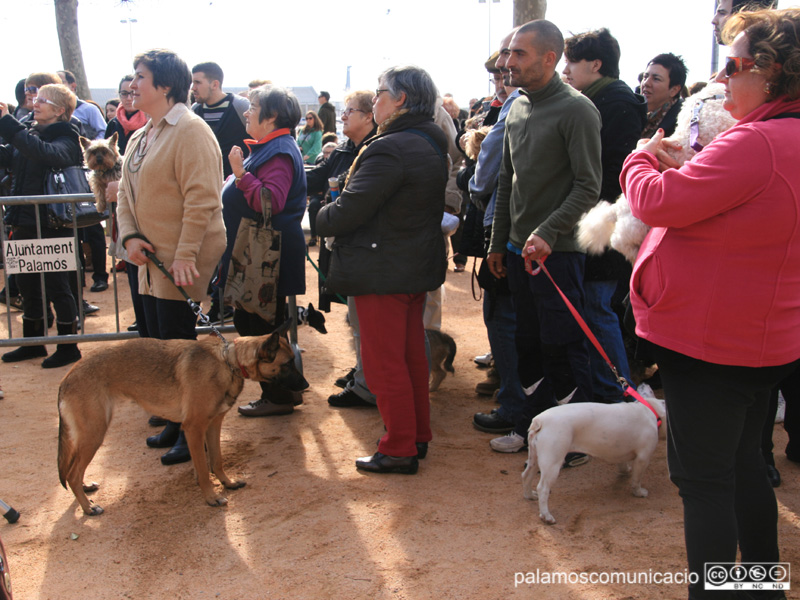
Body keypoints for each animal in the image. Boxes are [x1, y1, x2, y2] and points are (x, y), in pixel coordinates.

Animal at [57, 324, 306, 516]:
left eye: (294, 361)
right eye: (287, 364)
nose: (306, 385)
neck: (228, 362)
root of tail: (68, 377)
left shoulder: (213, 425)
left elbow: (216, 460)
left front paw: (227, 483)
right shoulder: (194, 428)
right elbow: (204, 468)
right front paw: (211, 497)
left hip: (89, 436)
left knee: (72, 470)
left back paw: (85, 490)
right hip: (94, 433)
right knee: (72, 473)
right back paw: (88, 508)